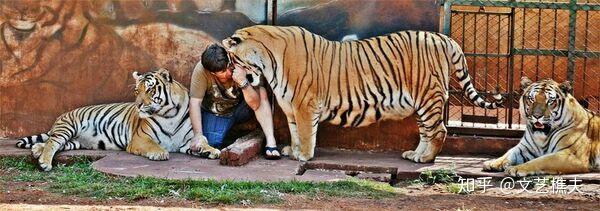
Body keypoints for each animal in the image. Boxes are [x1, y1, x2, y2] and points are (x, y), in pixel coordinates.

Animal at [17, 68, 223, 171]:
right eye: (136, 91)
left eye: (150, 90)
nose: (138, 105)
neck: (169, 114)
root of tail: (64, 115)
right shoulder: (140, 138)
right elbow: (154, 145)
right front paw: (160, 153)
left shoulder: (186, 142)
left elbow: (202, 144)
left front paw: (212, 151)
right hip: (68, 127)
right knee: (53, 141)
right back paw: (44, 161)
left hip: (74, 141)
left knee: (56, 143)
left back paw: (37, 150)